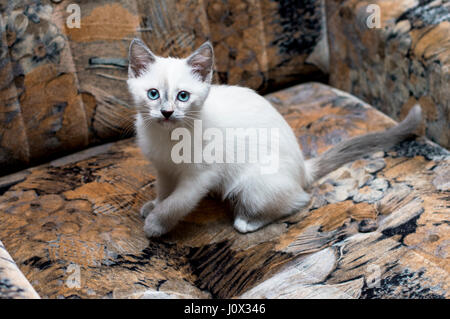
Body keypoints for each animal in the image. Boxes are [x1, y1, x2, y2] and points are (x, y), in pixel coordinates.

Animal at [126, 39, 422, 238]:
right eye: (153, 94)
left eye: (183, 96)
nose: (166, 112)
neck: (167, 139)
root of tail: (303, 168)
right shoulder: (164, 169)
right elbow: (164, 193)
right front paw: (153, 206)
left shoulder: (199, 178)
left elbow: (175, 204)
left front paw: (155, 225)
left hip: (252, 185)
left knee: (299, 200)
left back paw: (246, 222)